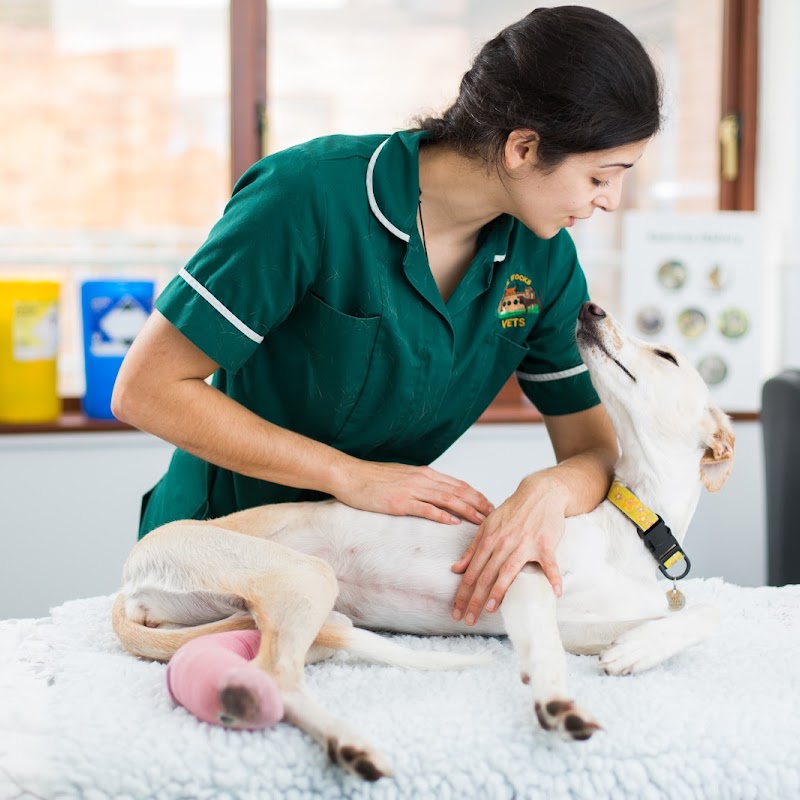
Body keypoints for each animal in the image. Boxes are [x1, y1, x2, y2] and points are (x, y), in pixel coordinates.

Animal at [114, 298, 736, 776]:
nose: (589, 308)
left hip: (284, 616)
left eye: (666, 355)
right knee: (277, 679)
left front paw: (637, 650)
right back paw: (348, 743)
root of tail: (128, 583)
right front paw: (557, 701)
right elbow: (547, 650)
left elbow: (700, 614)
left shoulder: (584, 624)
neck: (630, 527)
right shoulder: (523, 574)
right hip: (303, 576)